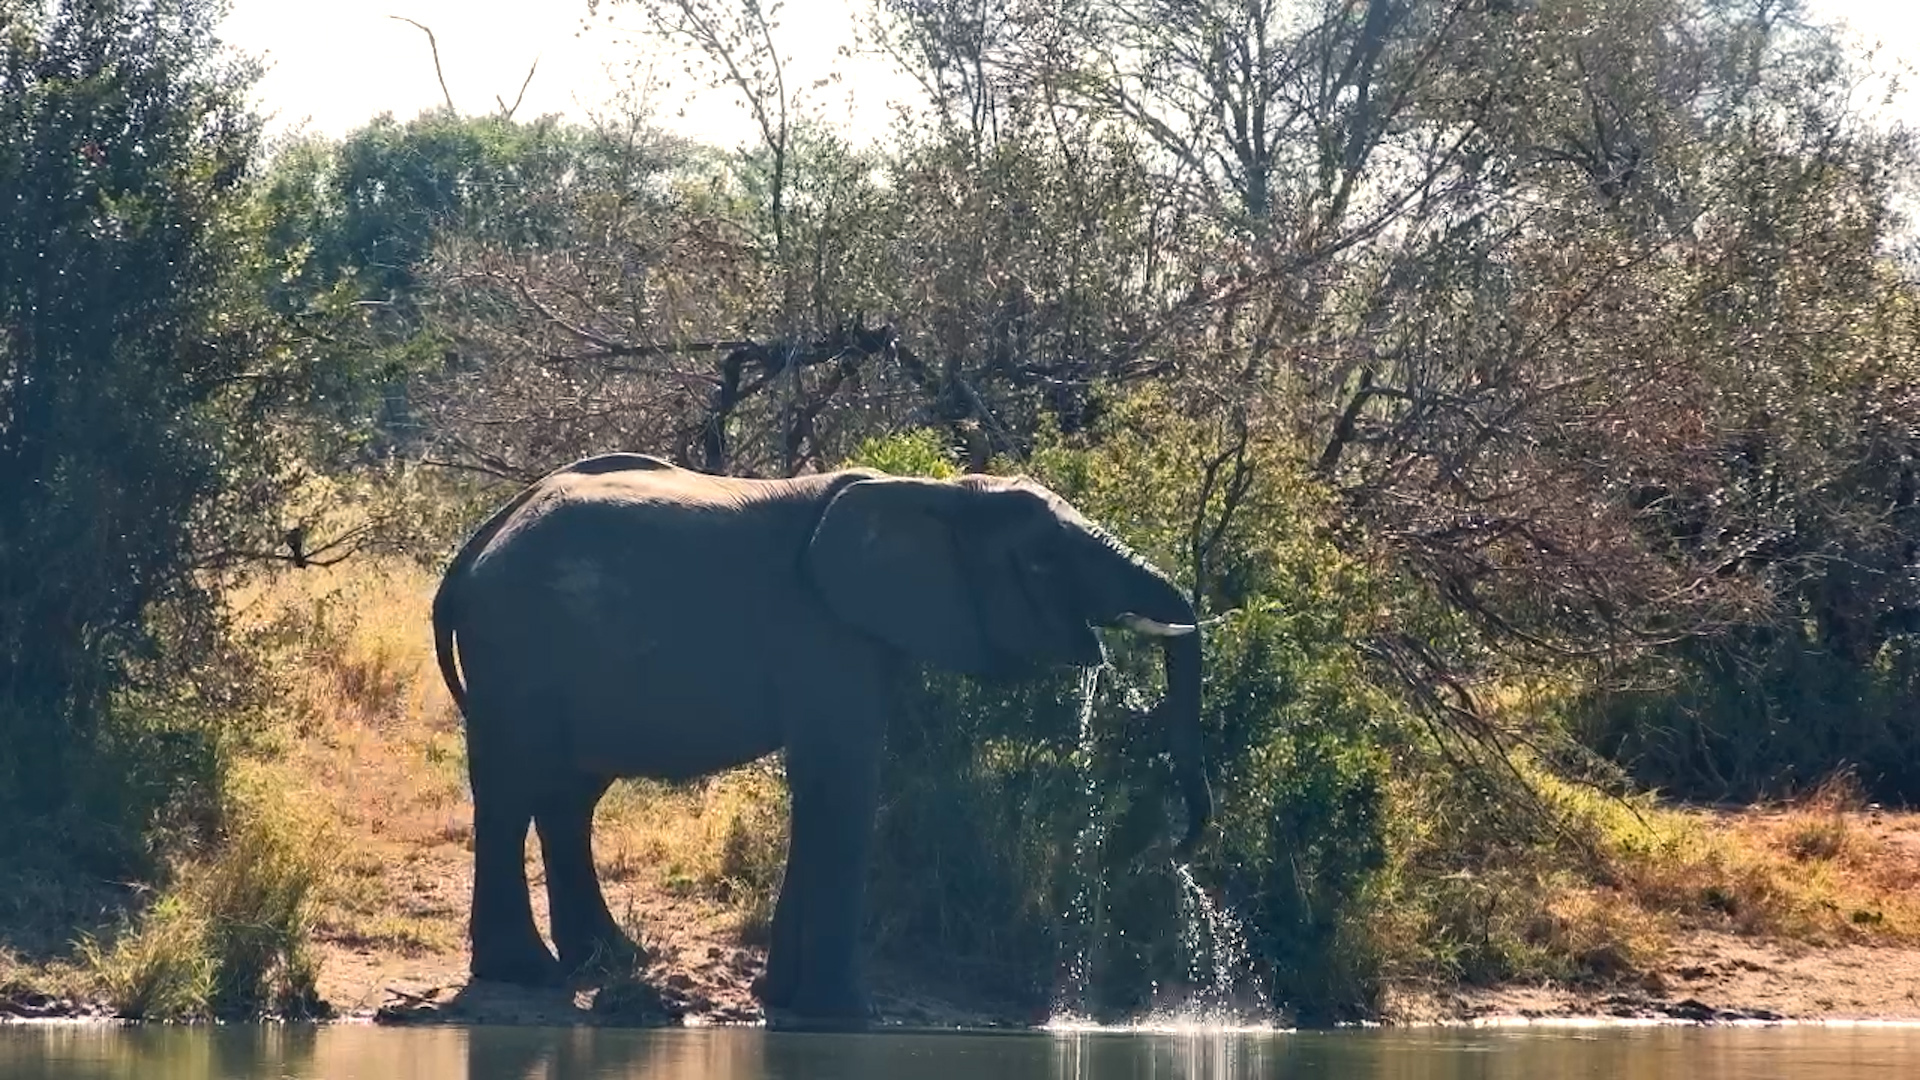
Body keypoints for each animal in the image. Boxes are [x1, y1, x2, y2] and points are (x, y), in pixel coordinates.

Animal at [429, 451, 1213, 1025]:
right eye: (1043, 561)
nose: (1177, 848)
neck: (941, 492)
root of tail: (473, 547)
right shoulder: (822, 630)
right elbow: (844, 783)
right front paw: (846, 1017)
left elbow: (822, 788)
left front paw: (783, 1002)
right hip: (516, 647)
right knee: (510, 790)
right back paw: (527, 973)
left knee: (569, 796)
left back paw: (606, 962)